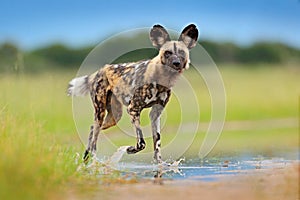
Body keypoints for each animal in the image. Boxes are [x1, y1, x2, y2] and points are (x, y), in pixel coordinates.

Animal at [68, 23, 199, 164]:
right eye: (168, 53)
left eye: (181, 53)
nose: (176, 63)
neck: (162, 79)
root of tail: (100, 70)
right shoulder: (133, 109)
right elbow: (141, 142)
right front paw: (130, 149)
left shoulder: (155, 114)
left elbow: (157, 144)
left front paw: (159, 164)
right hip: (100, 112)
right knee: (95, 134)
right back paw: (92, 158)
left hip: (114, 117)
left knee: (92, 129)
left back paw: (87, 157)